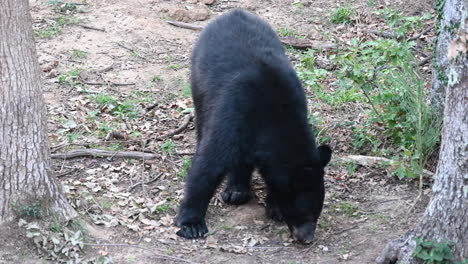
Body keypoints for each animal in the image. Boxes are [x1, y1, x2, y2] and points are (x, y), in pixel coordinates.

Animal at [176, 8, 332, 243]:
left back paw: (237, 190)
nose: (307, 238)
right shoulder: (234, 111)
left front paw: (274, 206)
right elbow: (209, 163)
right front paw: (191, 224)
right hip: (199, 84)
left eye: (317, 212)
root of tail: (232, 12)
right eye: (304, 213)